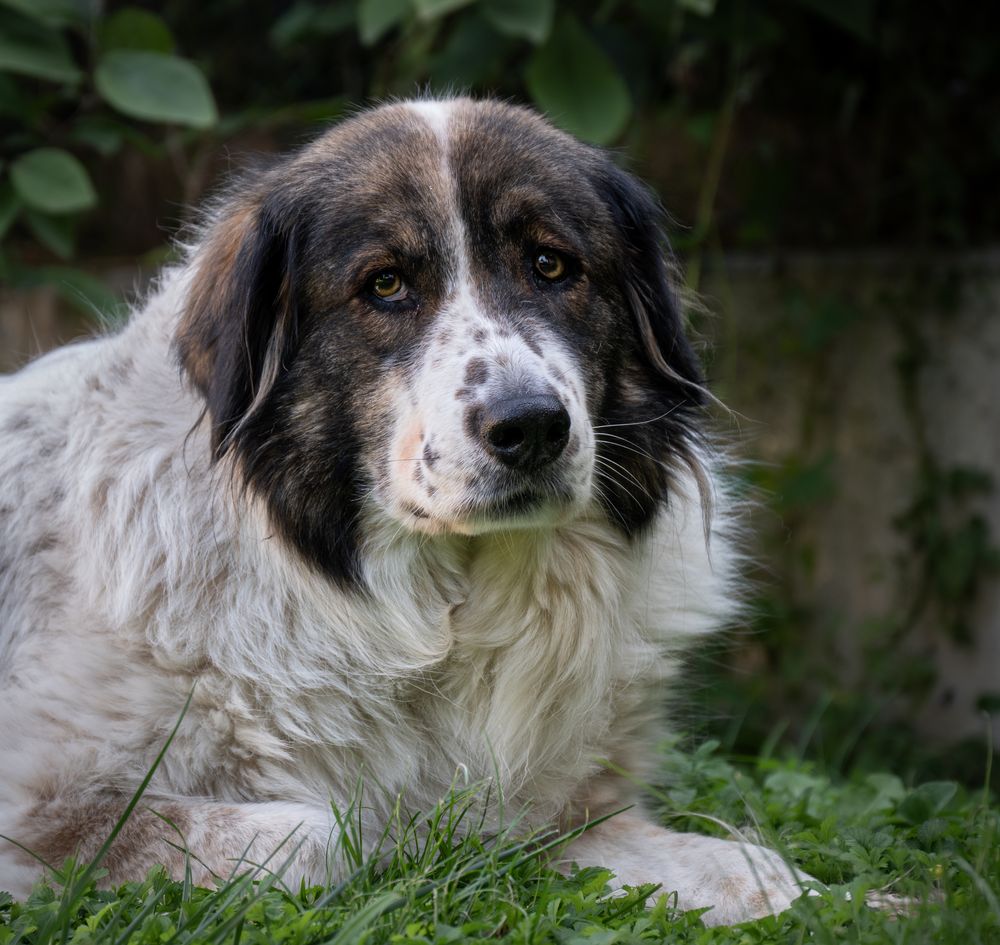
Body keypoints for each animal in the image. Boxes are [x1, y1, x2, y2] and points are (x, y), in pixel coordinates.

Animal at [0, 99, 808, 924]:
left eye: (551, 265)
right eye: (385, 284)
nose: (531, 426)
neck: (435, 615)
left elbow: (726, 859)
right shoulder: (45, 815)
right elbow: (332, 834)